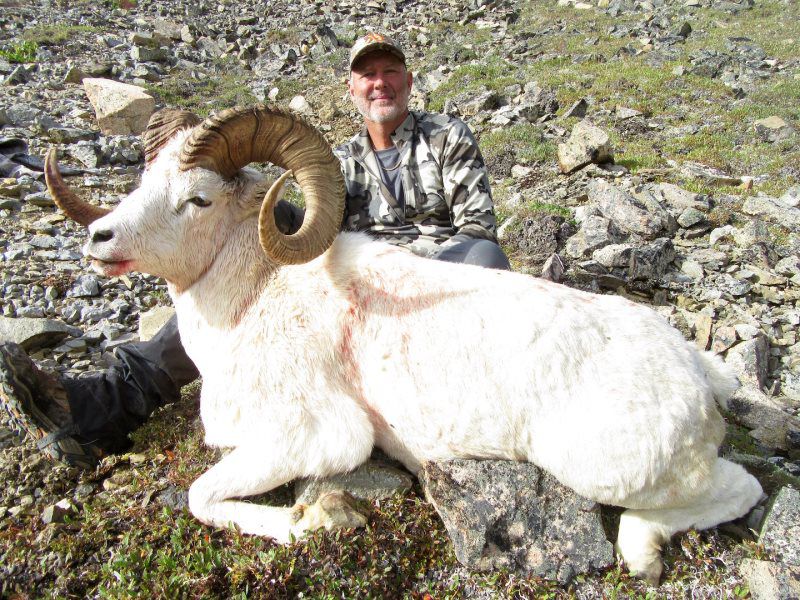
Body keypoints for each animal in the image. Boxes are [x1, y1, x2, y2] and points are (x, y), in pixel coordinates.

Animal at [44, 105, 763, 584]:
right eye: (143, 182)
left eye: (197, 199)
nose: (100, 239)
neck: (255, 300)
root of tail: (697, 378)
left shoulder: (318, 437)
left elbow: (203, 497)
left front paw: (315, 522)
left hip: (606, 468)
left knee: (739, 489)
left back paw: (641, 553)